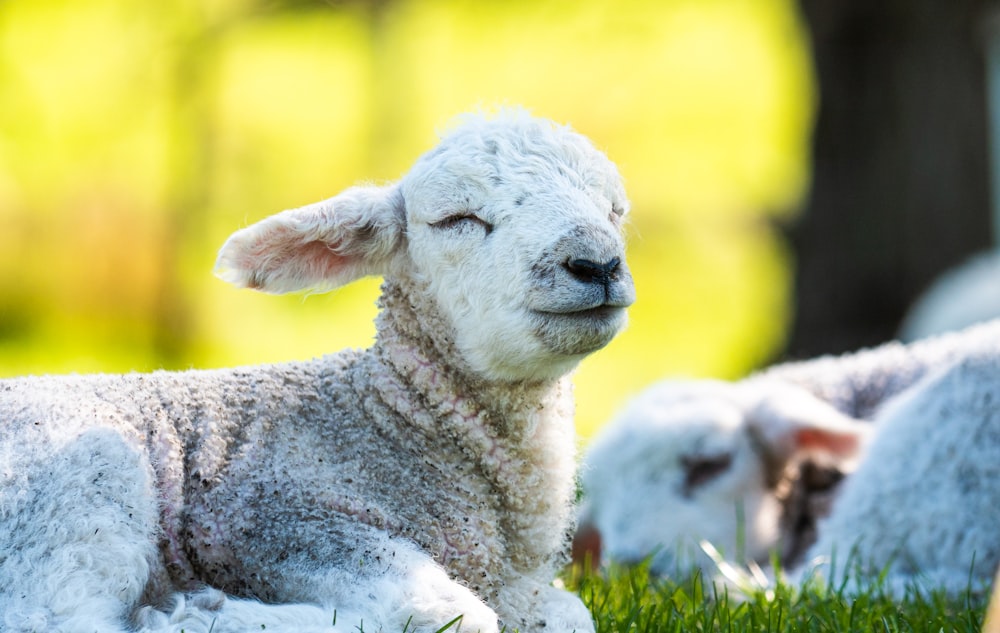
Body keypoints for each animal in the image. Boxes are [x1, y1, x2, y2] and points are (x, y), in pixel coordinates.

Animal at [0, 110, 636, 632]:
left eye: (614, 210)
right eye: (457, 217)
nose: (597, 263)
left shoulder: (516, 583)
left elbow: (570, 614)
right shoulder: (259, 516)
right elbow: (454, 613)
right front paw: (206, 612)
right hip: (80, 479)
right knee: (55, 619)